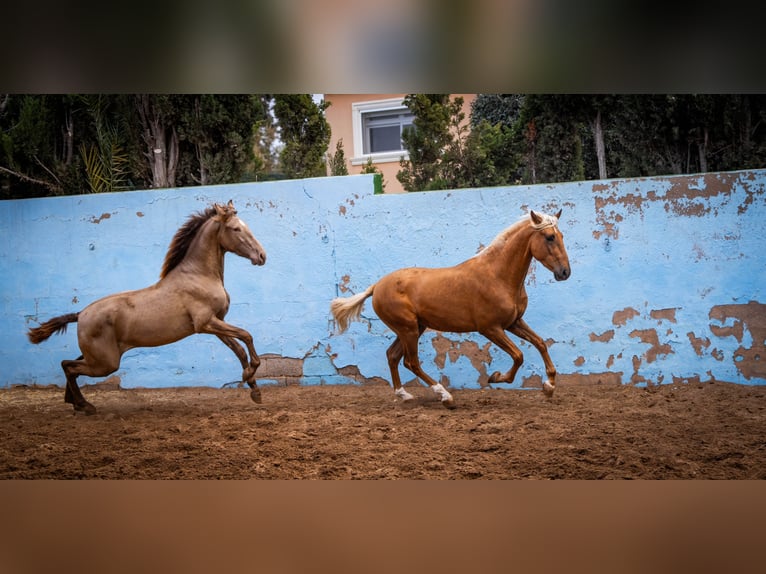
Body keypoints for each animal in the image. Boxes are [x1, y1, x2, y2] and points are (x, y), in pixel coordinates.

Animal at [27, 201, 268, 414]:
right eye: (236, 228)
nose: (262, 256)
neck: (198, 276)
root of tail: (80, 314)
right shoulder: (206, 323)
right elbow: (247, 336)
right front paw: (251, 377)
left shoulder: (217, 323)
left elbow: (239, 350)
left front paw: (254, 389)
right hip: (106, 363)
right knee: (69, 366)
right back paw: (83, 405)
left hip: (99, 357)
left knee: (69, 365)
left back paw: (77, 403)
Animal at [332, 212, 572, 410]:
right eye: (550, 237)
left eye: (561, 235)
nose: (564, 272)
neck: (497, 276)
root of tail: (376, 287)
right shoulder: (490, 328)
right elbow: (519, 355)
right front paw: (495, 377)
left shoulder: (514, 322)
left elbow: (540, 343)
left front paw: (549, 386)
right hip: (408, 329)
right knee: (411, 362)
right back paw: (445, 396)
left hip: (413, 328)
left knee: (392, 356)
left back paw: (404, 395)